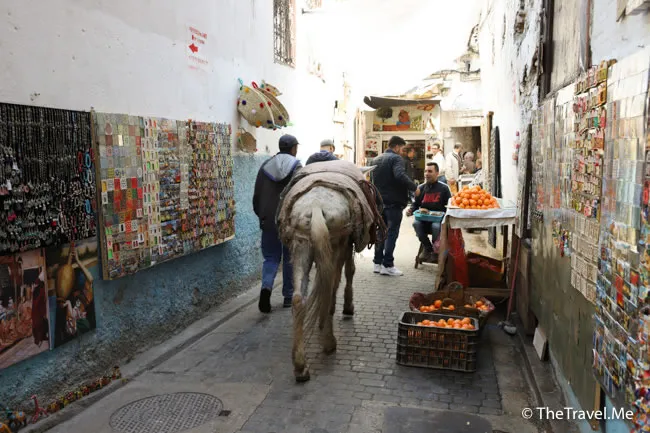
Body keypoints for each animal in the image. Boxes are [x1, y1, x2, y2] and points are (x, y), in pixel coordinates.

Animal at [277, 160, 384, 382]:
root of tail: (315, 206)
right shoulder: (346, 246)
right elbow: (348, 272)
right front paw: (347, 307)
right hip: (334, 245)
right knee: (328, 290)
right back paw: (328, 342)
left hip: (301, 247)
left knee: (299, 298)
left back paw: (300, 366)